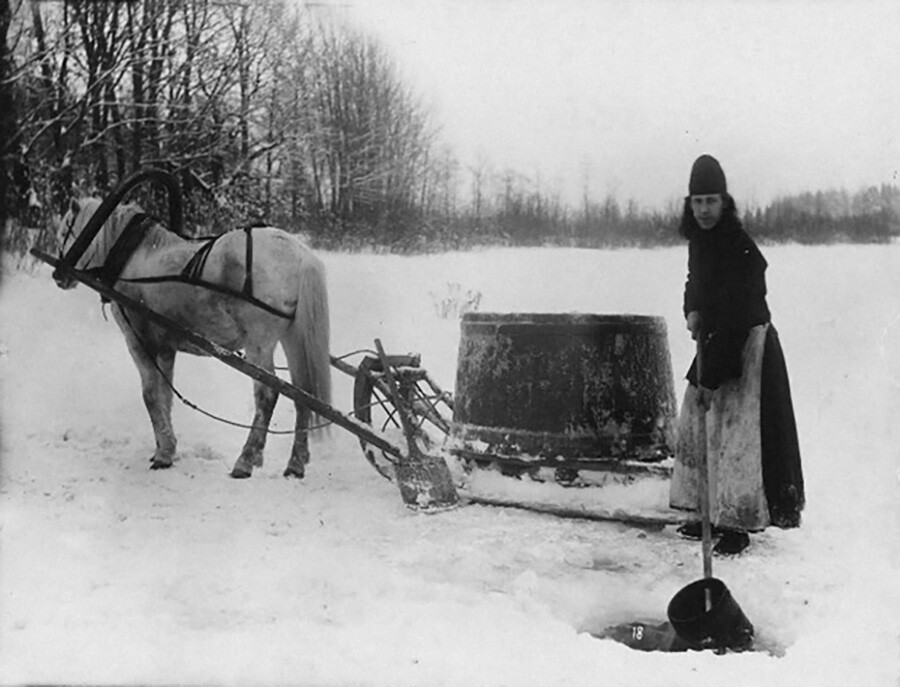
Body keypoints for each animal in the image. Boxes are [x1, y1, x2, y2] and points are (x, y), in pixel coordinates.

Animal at [55, 199, 330, 478]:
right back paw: (295, 462)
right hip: (292, 338)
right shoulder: (165, 347)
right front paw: (164, 448)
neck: (133, 258)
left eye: (64, 231)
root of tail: (300, 254)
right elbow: (165, 394)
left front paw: (164, 453)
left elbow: (150, 395)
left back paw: (246, 460)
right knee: (302, 392)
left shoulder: (139, 340)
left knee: (268, 394)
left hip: (259, 343)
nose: (58, 276)